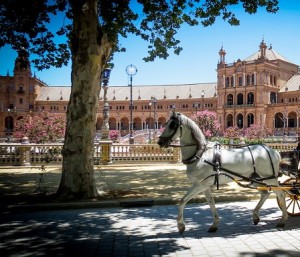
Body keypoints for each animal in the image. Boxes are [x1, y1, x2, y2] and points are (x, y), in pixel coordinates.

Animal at [157, 111, 288, 233]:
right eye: (166, 123)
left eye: (172, 124)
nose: (160, 142)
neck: (200, 154)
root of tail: (273, 151)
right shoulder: (205, 185)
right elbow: (211, 202)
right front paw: (214, 224)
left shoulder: (200, 184)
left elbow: (183, 200)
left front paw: (181, 225)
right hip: (257, 179)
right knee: (265, 194)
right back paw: (256, 216)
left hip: (270, 179)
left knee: (281, 194)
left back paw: (283, 220)